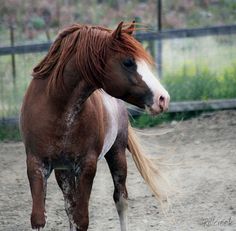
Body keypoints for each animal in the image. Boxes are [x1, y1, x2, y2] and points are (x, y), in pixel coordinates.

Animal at [19, 22, 169, 231]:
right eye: (128, 62)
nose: (163, 98)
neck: (56, 107)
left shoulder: (87, 166)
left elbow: (82, 219)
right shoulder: (36, 165)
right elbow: (41, 217)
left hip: (117, 153)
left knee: (121, 199)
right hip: (63, 171)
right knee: (70, 207)